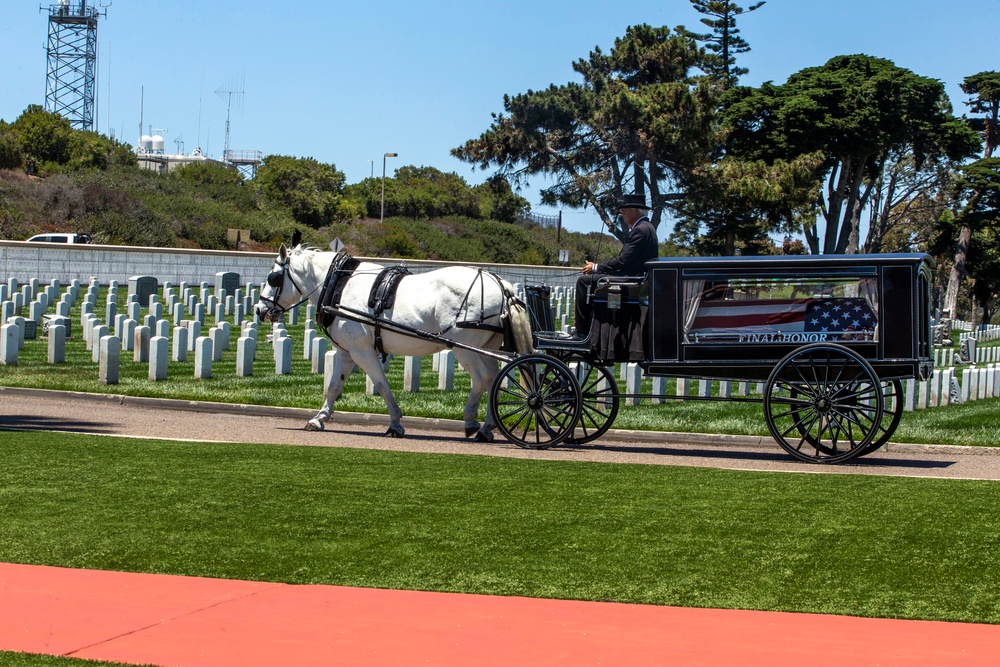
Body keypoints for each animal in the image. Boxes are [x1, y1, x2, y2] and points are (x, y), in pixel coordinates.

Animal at [254, 243, 536, 440]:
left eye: (273, 278)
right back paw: (487, 427)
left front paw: (395, 423)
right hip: (486, 347)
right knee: (493, 380)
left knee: (481, 378)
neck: (339, 284)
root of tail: (500, 284)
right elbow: (333, 386)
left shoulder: (362, 351)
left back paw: (470, 421)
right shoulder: (346, 352)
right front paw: (319, 418)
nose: (259, 310)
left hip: (463, 346)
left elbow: (381, 384)